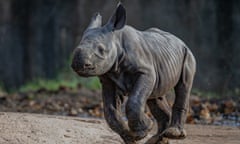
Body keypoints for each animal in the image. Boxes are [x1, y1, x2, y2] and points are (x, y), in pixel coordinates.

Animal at [71, 3, 195, 144]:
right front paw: (133, 137)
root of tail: (181, 41)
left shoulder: (146, 71)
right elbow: (110, 112)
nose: (78, 64)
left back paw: (173, 133)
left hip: (187, 55)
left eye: (101, 50)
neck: (117, 41)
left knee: (183, 86)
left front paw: (143, 131)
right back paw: (157, 140)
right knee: (155, 96)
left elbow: (134, 101)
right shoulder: (108, 77)